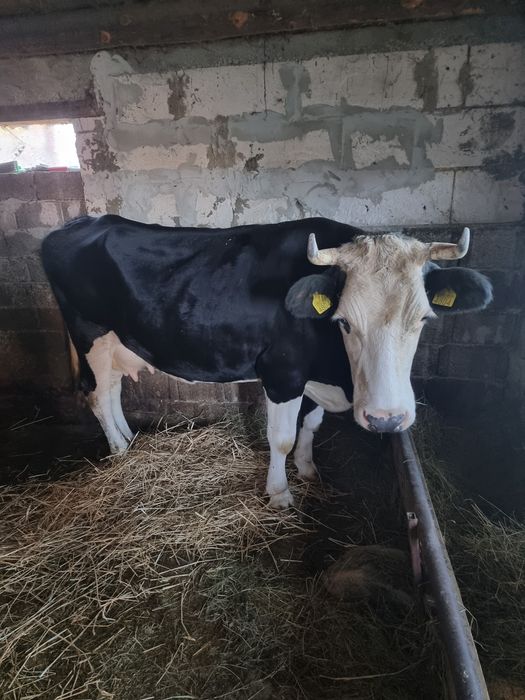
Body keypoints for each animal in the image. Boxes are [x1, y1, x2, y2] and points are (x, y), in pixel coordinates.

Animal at [41, 215, 492, 508]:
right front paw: (280, 493)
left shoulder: (311, 378)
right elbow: (282, 438)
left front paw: (308, 470)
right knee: (97, 394)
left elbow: (311, 425)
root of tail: (79, 223)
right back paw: (119, 451)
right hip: (90, 335)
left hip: (117, 341)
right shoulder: (283, 372)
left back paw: (129, 442)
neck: (337, 374)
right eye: (344, 321)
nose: (386, 419)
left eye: (423, 319)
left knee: (113, 390)